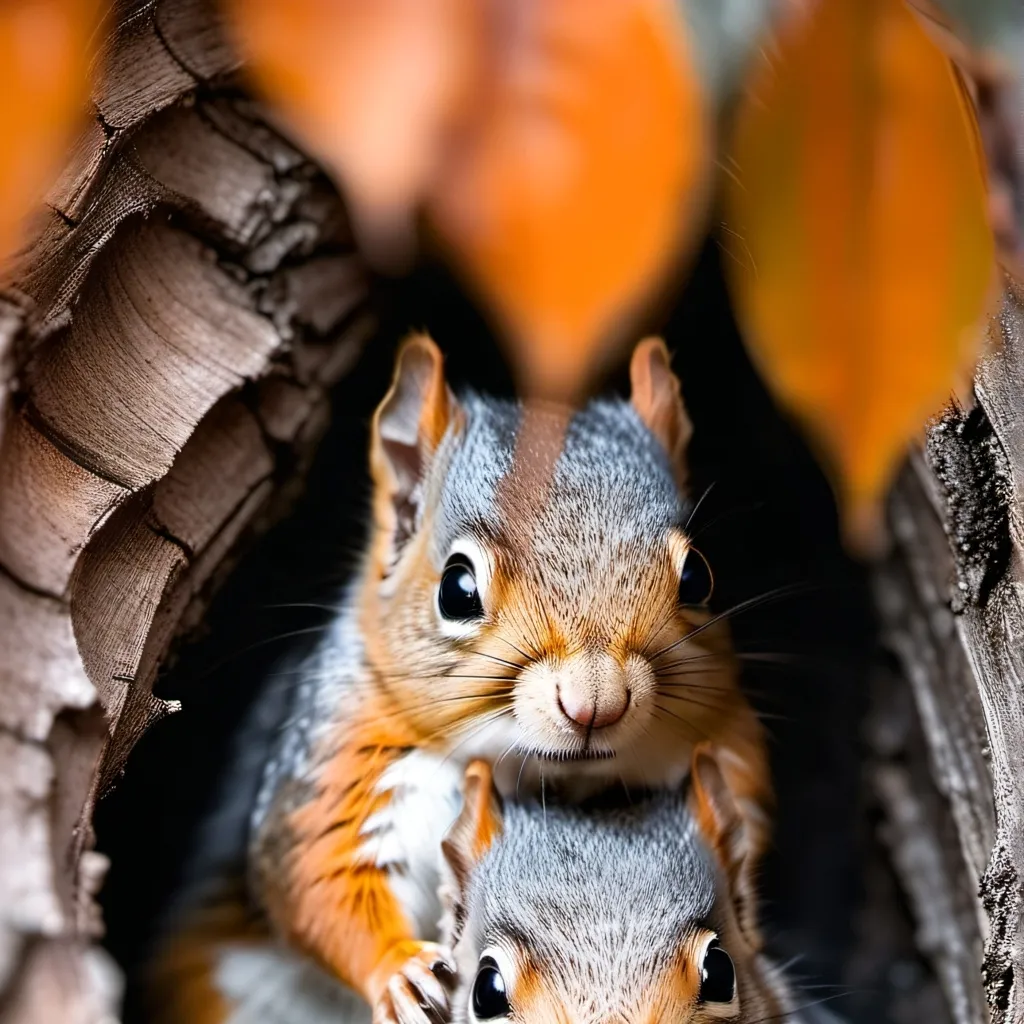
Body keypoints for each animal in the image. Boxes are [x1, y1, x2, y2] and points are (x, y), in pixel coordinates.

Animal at [147, 334, 770, 1024]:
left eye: (698, 577)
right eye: (456, 588)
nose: (595, 703)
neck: (541, 775)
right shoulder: (342, 755)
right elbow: (320, 871)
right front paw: (400, 969)